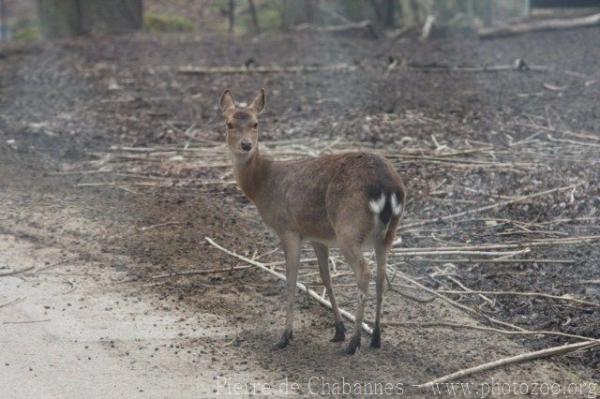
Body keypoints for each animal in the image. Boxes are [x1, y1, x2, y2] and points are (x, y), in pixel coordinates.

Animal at [218, 89, 406, 354]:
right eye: (229, 124)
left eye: (255, 123)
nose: (246, 145)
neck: (262, 185)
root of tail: (388, 188)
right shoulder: (318, 236)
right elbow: (325, 277)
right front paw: (338, 330)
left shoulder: (288, 228)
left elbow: (291, 278)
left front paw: (285, 336)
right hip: (388, 234)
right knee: (381, 275)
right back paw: (375, 337)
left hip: (348, 229)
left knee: (364, 273)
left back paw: (354, 343)